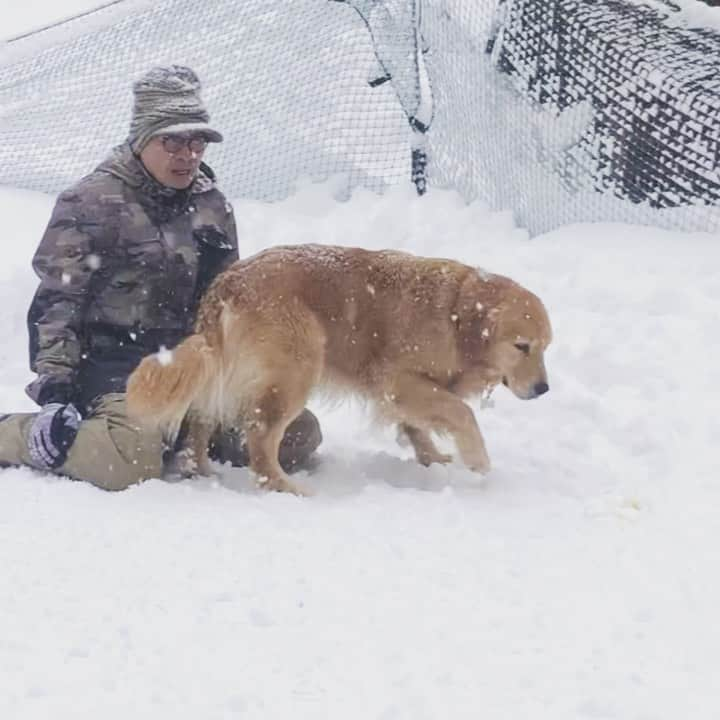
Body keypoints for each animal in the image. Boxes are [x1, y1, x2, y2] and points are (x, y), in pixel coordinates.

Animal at [125, 245, 552, 492]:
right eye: (522, 347)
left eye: (545, 347)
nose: (543, 389)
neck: (457, 313)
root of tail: (228, 283)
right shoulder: (398, 381)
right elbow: (459, 411)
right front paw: (477, 460)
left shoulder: (406, 392)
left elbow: (417, 426)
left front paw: (431, 458)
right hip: (297, 368)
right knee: (260, 437)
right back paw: (283, 486)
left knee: (201, 420)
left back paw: (202, 470)